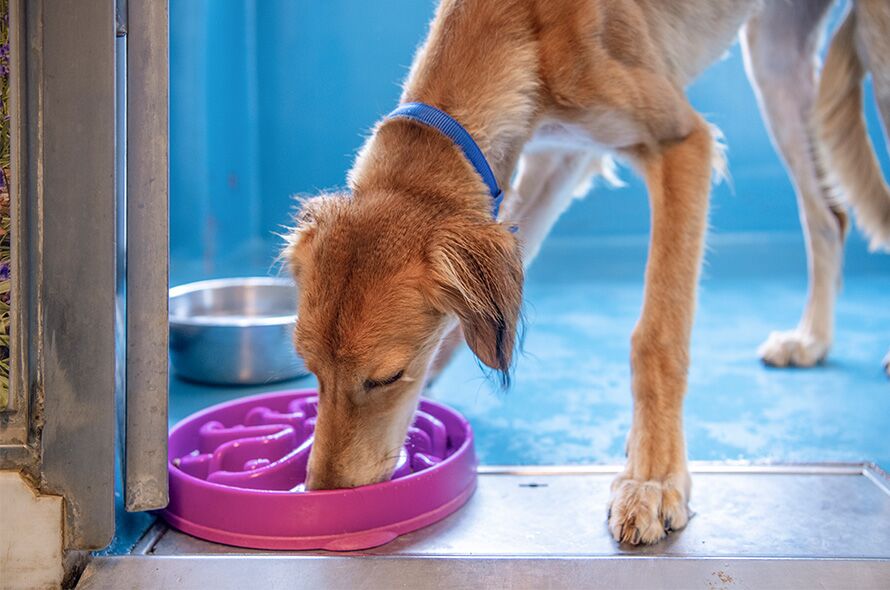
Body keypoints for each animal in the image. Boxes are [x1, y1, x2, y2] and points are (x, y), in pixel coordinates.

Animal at [284, 0, 888, 544]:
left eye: (387, 378)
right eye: (310, 370)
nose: (321, 497)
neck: (519, 25)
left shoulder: (681, 143)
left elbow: (657, 337)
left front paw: (653, 478)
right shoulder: (555, 162)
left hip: (873, 54)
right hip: (776, 60)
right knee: (827, 218)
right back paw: (812, 338)